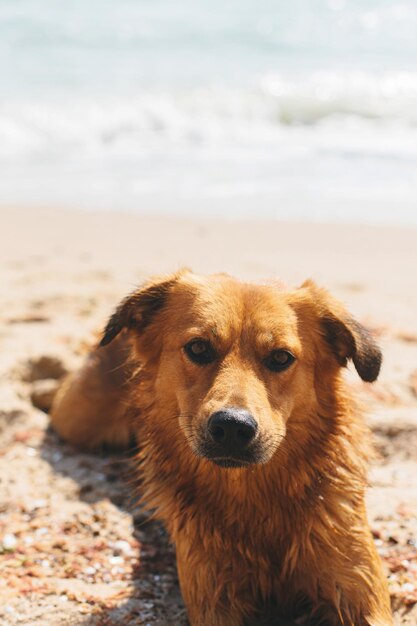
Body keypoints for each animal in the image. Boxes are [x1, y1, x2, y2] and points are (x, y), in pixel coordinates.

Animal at [50, 270, 392, 624]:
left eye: (281, 357)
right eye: (199, 348)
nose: (232, 427)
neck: (253, 498)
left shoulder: (356, 586)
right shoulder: (212, 593)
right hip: (77, 419)